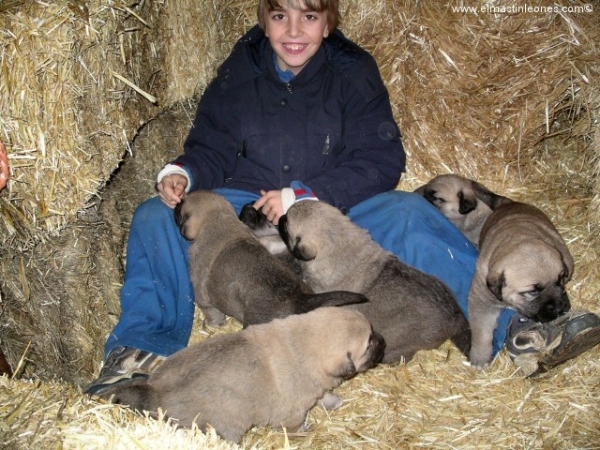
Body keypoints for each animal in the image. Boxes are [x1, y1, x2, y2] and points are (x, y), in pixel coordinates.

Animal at [107, 306, 384, 442]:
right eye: (369, 342)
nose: (383, 341)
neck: (305, 343)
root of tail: (156, 393)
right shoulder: (293, 412)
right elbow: (295, 425)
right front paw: (304, 431)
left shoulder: (314, 389)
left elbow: (323, 395)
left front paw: (333, 401)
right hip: (227, 428)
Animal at [173, 190, 366, 326]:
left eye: (181, 206)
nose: (175, 204)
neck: (218, 221)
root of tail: (299, 299)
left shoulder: (203, 297)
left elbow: (213, 314)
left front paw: (210, 324)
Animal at [466, 201, 576, 370]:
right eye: (533, 291)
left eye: (560, 280)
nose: (559, 309)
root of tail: (510, 203)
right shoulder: (481, 300)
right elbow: (482, 330)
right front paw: (480, 357)